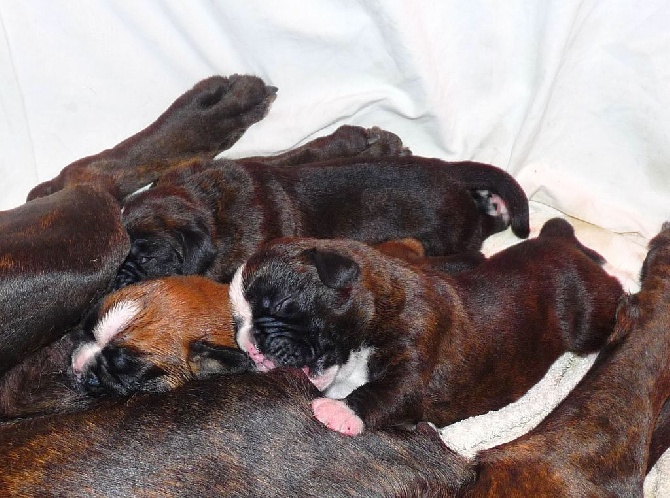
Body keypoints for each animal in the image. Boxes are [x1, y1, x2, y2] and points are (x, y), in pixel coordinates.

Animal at [231, 219, 624, 436]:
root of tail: (561, 246)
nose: (250, 345)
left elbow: (389, 392)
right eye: (237, 323)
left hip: (588, 320)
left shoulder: (416, 348)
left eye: (282, 304)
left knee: (611, 294)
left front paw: (341, 412)